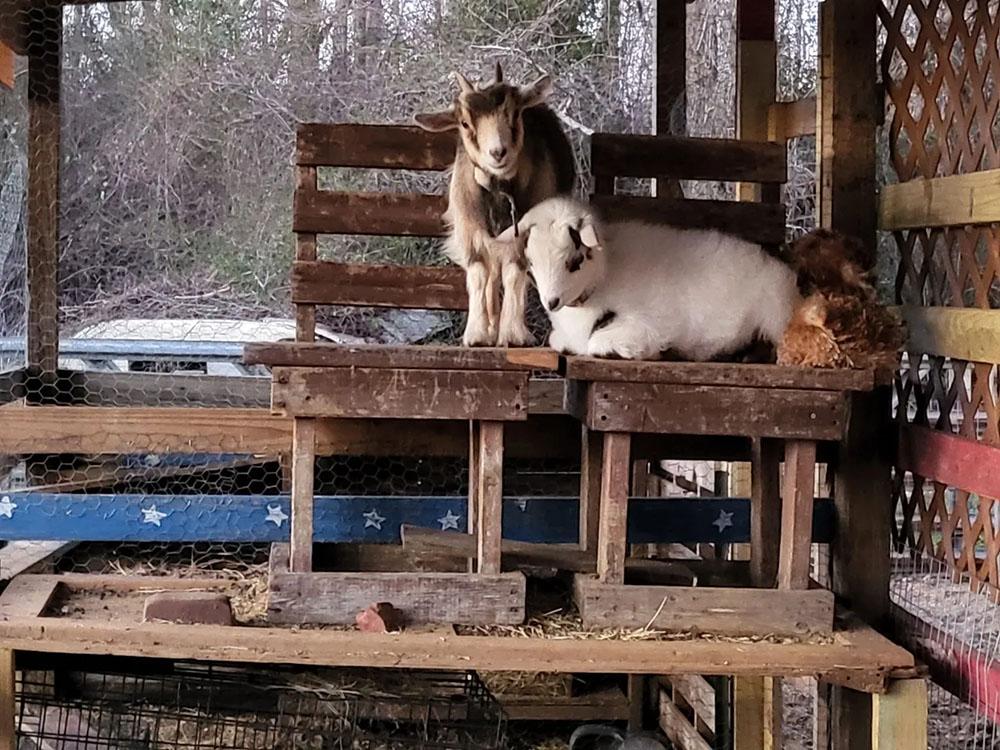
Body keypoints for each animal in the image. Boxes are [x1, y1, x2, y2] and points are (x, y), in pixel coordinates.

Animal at [504, 197, 800, 362]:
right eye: (531, 262)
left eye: (575, 261)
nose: (551, 301)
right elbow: (560, 340)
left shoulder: (648, 326)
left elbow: (598, 343)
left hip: (774, 316)